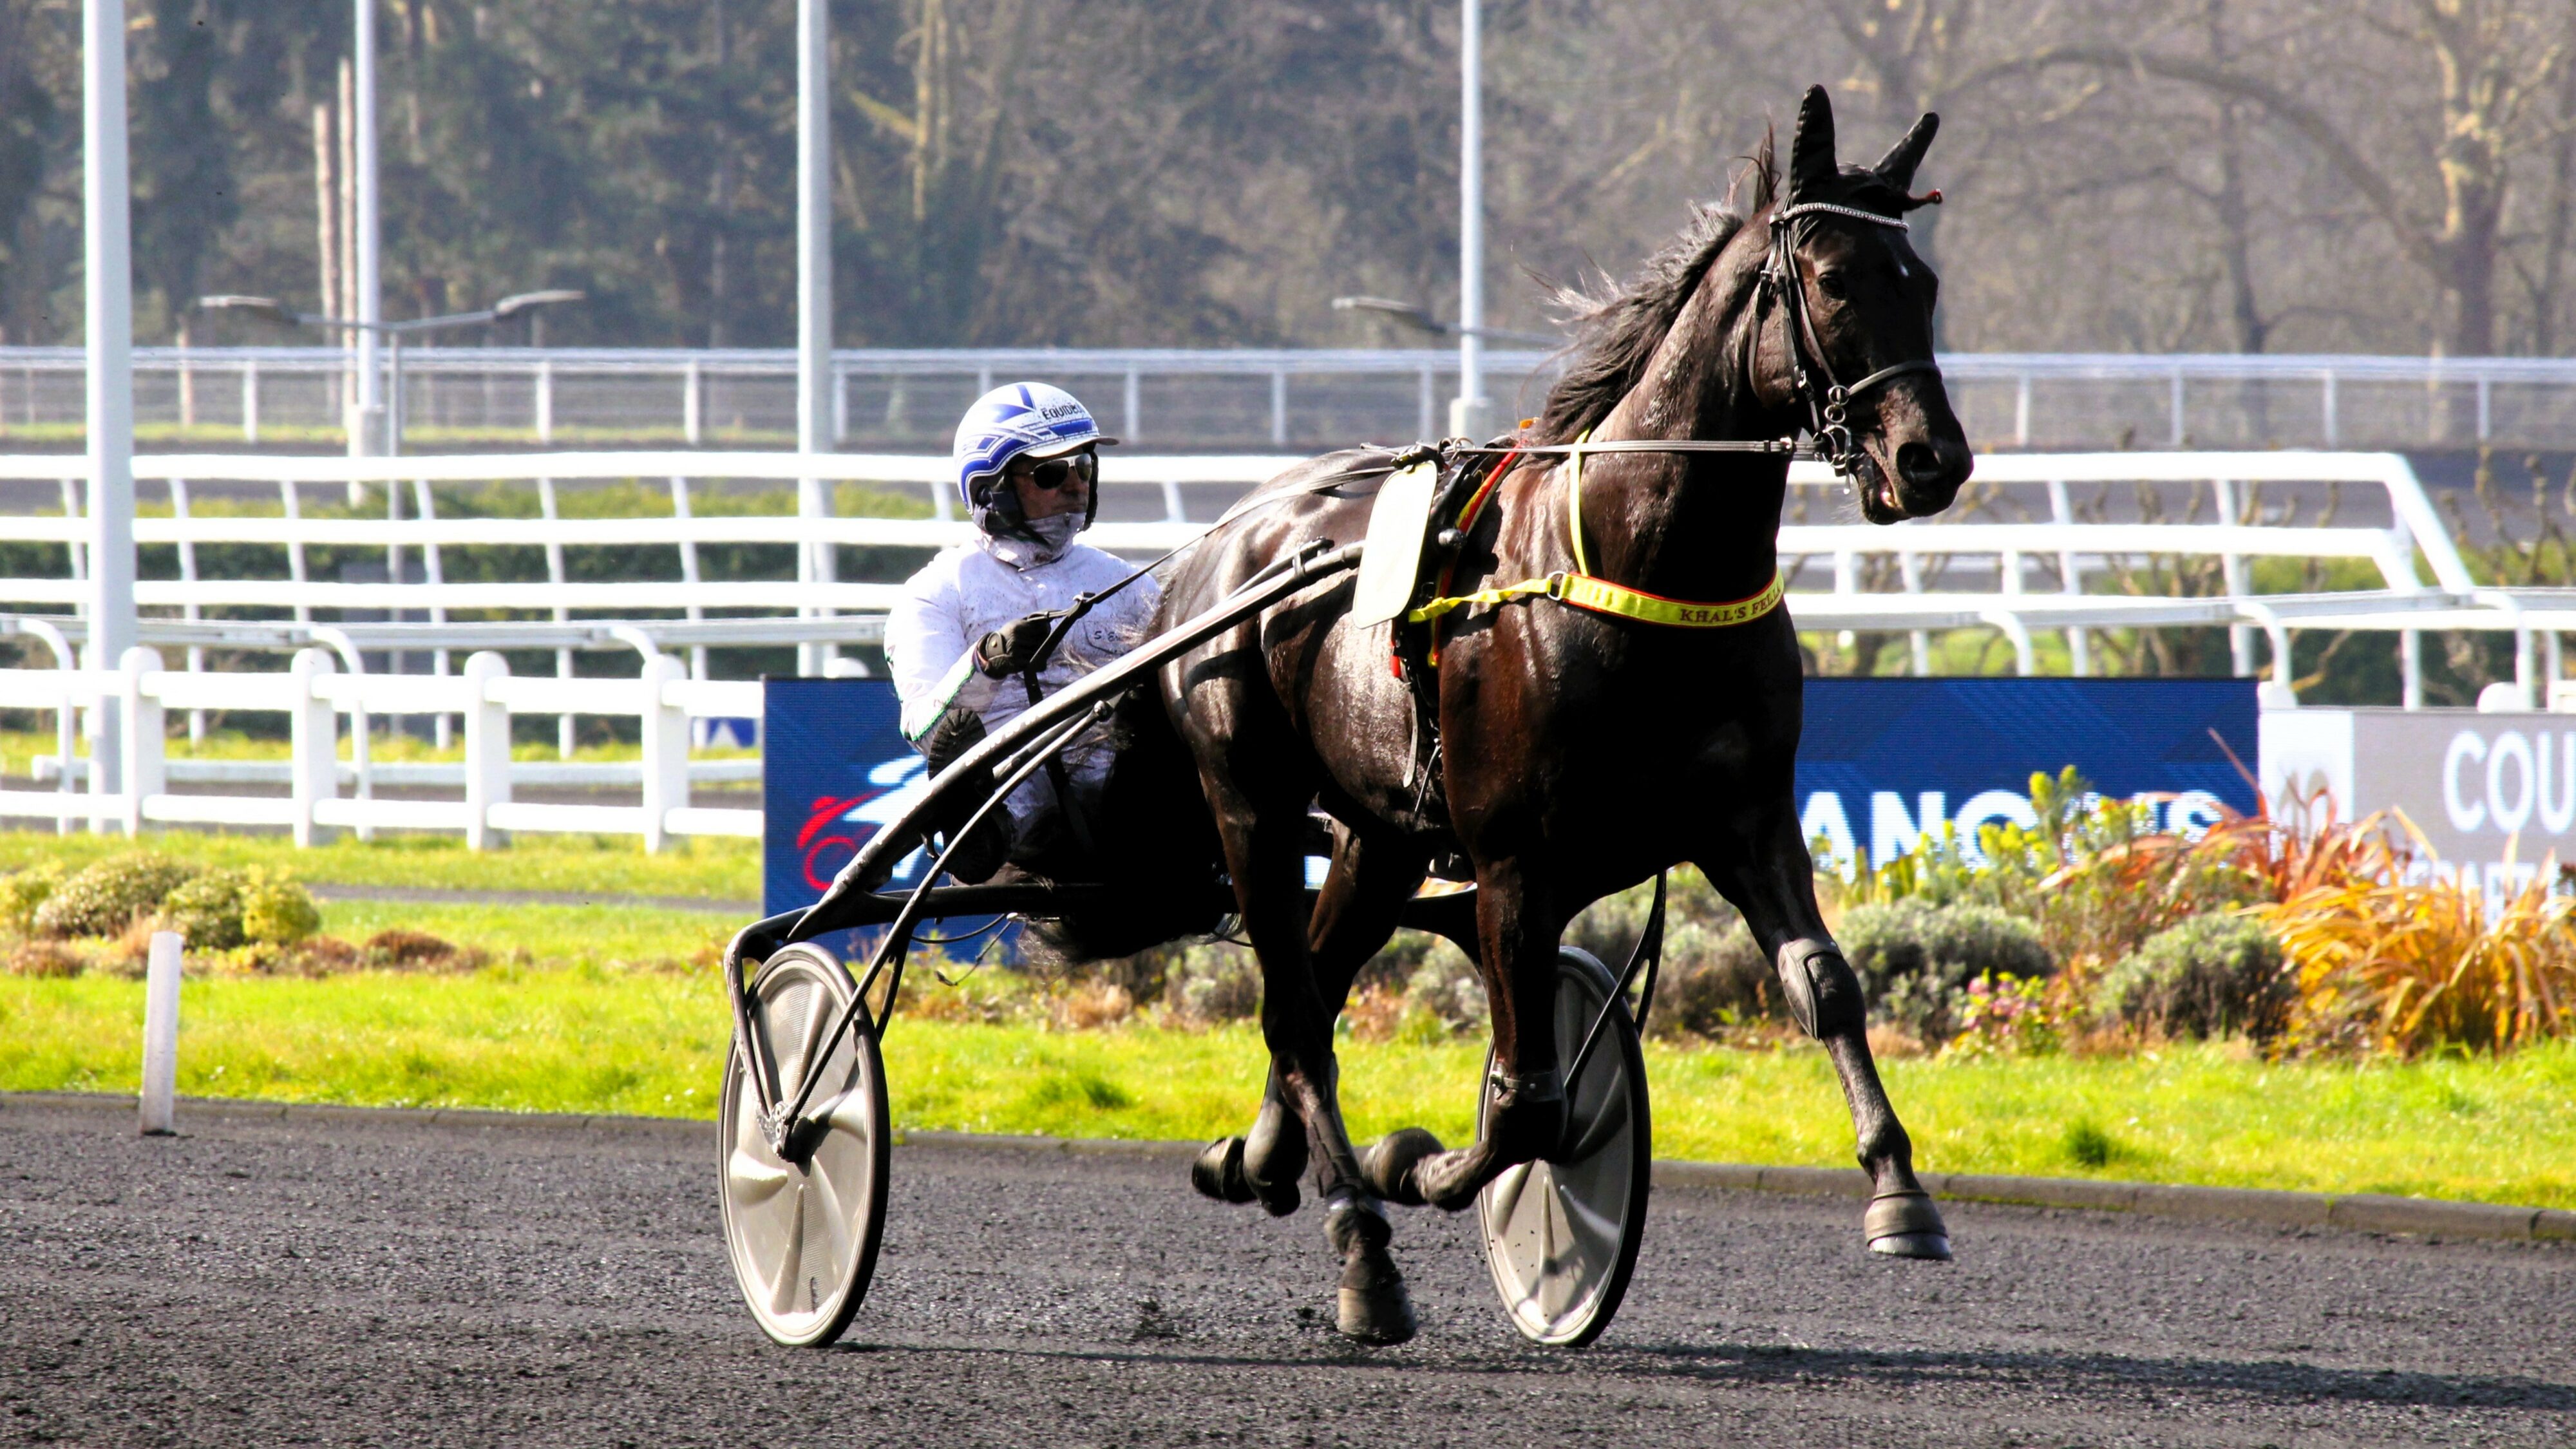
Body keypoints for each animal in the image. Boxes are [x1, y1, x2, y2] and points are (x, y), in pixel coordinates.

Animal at [1061, 85, 1975, 1345]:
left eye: (1921, 280)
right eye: (1835, 279)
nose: (1932, 459)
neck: (1642, 566)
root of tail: (1219, 544)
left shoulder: (1744, 818)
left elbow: (1822, 983)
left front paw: (1900, 1195)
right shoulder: (1513, 859)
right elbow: (1528, 1098)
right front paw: (1420, 1166)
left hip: (1380, 836)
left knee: (1315, 988)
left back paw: (1261, 1154)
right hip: (1250, 802)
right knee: (1295, 1008)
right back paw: (1363, 1248)